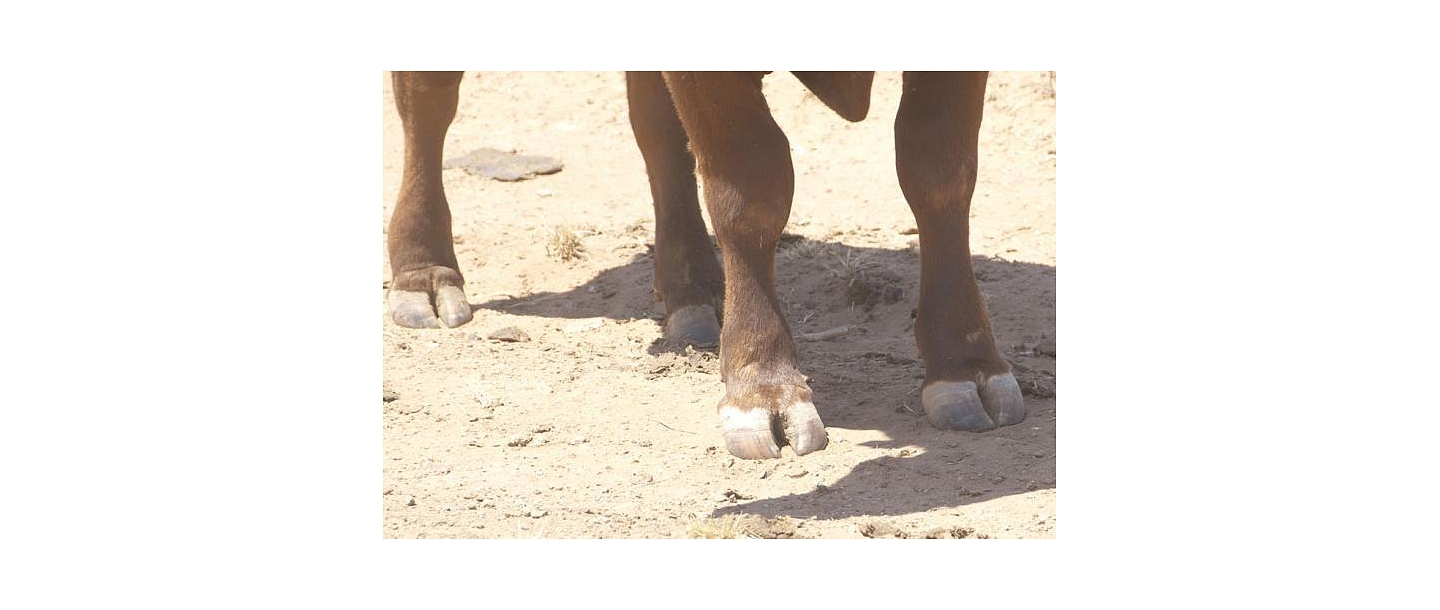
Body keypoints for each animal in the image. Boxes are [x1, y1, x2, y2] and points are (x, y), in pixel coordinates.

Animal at [385, 71, 1025, 460]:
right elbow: (751, 182)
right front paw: (763, 385)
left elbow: (938, 169)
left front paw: (965, 363)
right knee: (428, 100)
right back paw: (423, 273)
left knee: (656, 125)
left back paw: (692, 289)